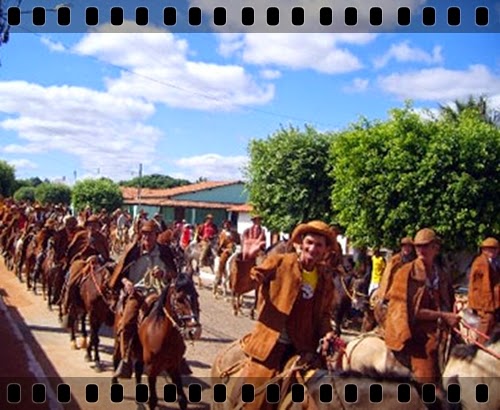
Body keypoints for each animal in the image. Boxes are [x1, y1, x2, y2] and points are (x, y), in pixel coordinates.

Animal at [111, 272, 201, 410]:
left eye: (196, 296)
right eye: (179, 299)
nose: (195, 331)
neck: (164, 335)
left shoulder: (174, 366)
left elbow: (182, 399)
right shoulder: (152, 368)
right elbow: (153, 400)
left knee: (138, 369)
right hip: (119, 338)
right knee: (116, 357)